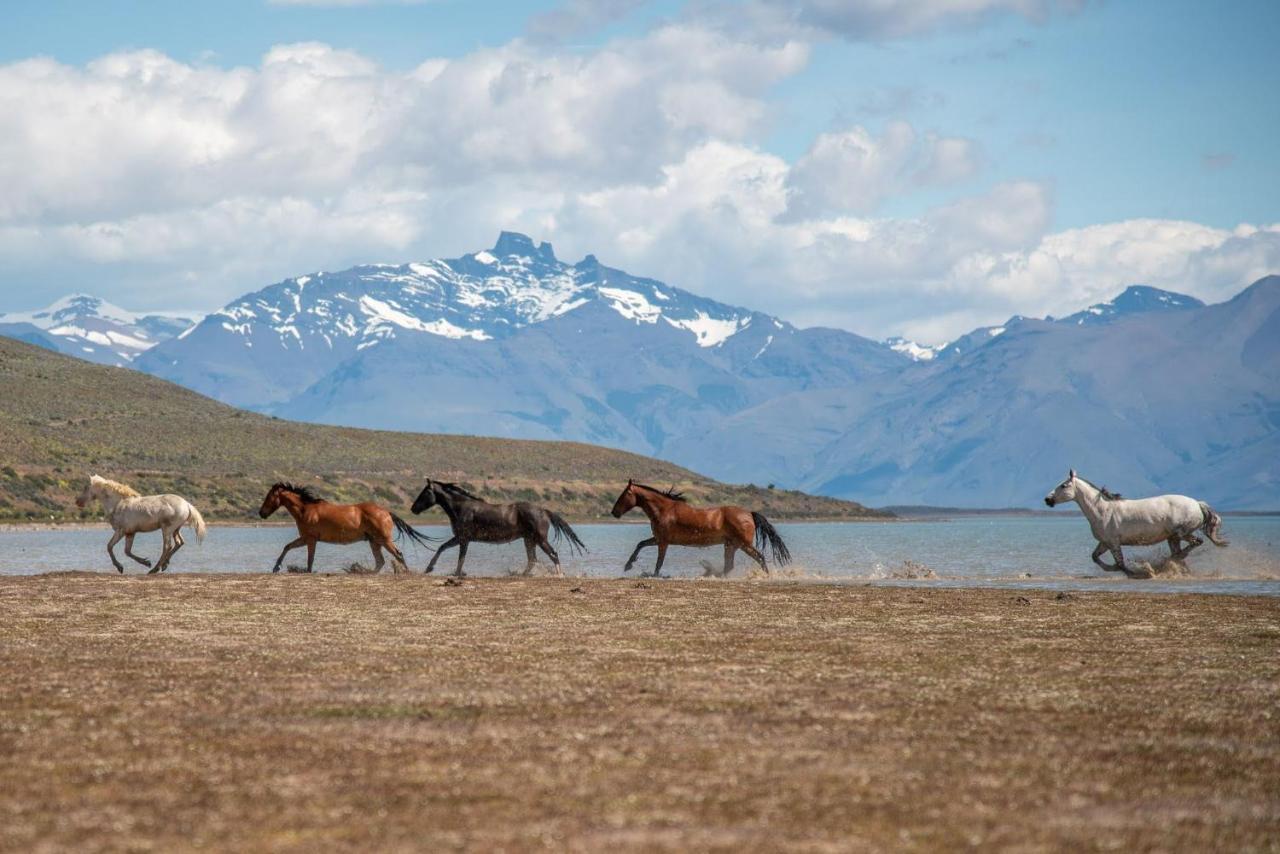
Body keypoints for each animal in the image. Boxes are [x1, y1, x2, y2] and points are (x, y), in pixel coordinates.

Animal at [74, 473, 206, 573]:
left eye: (86, 487)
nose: (78, 502)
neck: (119, 503)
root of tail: (187, 504)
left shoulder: (121, 531)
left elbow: (110, 547)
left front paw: (120, 567)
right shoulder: (130, 533)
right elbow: (127, 551)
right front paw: (145, 562)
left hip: (167, 529)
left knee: (167, 546)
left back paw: (154, 569)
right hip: (176, 529)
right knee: (179, 543)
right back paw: (163, 565)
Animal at [256, 481, 435, 573]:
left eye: (269, 497)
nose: (261, 513)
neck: (305, 509)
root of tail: (387, 513)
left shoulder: (310, 539)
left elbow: (309, 559)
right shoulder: (306, 539)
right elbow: (287, 547)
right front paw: (276, 567)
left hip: (384, 540)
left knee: (397, 555)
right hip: (374, 542)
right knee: (380, 562)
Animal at [412, 478, 586, 578]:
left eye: (425, 492)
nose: (413, 509)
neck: (460, 508)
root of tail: (544, 511)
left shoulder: (463, 538)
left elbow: (460, 557)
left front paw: (457, 574)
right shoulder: (460, 538)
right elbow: (442, 547)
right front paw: (429, 568)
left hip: (539, 539)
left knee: (552, 554)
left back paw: (559, 575)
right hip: (529, 539)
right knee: (532, 560)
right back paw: (520, 575)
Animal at [609, 481, 788, 581]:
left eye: (624, 494)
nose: (614, 512)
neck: (664, 510)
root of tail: (749, 513)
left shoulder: (663, 542)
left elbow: (659, 562)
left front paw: (653, 575)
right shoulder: (658, 539)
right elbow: (640, 544)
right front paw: (628, 565)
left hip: (744, 545)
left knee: (760, 557)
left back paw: (767, 576)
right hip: (731, 545)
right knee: (729, 565)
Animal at [1044, 468, 1223, 581]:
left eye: (1063, 485)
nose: (1047, 499)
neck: (1102, 510)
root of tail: (1198, 504)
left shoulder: (1113, 543)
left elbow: (1120, 563)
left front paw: (1136, 573)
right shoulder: (1105, 542)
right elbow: (1095, 557)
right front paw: (1114, 569)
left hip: (1181, 533)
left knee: (1196, 542)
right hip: (1173, 538)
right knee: (1181, 553)